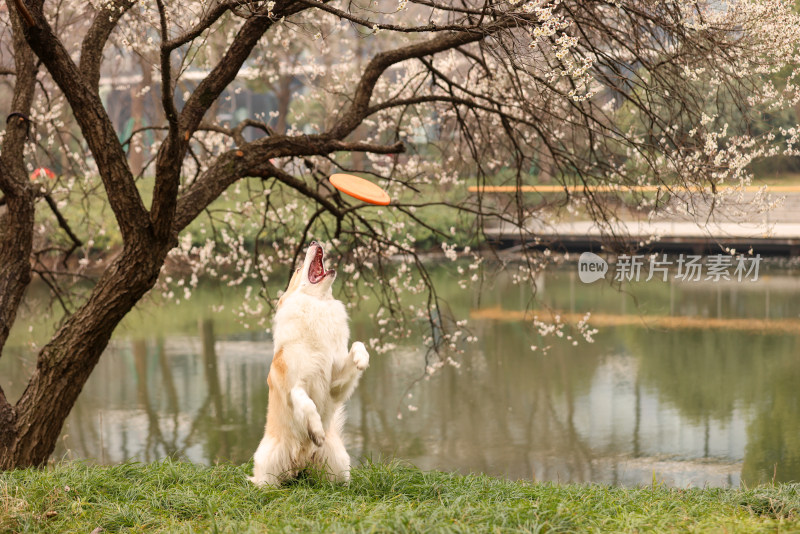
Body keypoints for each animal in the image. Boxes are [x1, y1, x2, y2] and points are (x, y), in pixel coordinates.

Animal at [248, 243, 370, 490]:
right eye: (297, 270)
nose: (314, 242)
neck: (318, 305)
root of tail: (300, 466)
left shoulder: (336, 384)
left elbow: (357, 346)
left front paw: (362, 359)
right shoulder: (294, 387)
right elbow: (306, 403)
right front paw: (317, 432)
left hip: (338, 466)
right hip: (268, 464)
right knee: (264, 482)